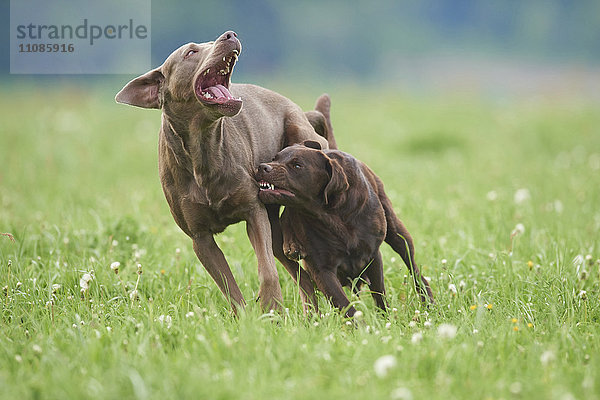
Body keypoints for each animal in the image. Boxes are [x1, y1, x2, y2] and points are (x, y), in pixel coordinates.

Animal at [114, 32, 336, 312]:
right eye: (190, 52)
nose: (230, 35)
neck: (203, 148)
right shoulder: (200, 238)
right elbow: (228, 287)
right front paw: (246, 317)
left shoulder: (253, 211)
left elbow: (267, 271)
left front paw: (270, 308)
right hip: (275, 231)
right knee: (302, 276)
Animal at [255, 141, 434, 316]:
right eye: (274, 158)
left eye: (297, 165)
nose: (262, 167)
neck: (332, 214)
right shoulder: (322, 270)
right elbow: (345, 305)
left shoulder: (373, 256)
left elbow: (379, 293)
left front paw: (385, 318)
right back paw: (292, 245)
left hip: (397, 232)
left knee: (413, 266)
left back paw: (428, 301)